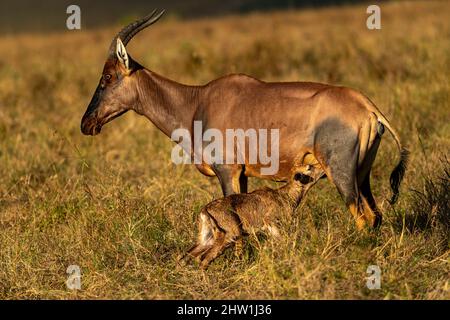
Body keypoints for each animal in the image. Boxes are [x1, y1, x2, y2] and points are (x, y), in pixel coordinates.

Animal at [81, 10, 408, 230]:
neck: (198, 101)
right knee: (376, 216)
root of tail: (367, 106)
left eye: (107, 76)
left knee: (362, 218)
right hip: (363, 174)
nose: (87, 124)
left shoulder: (227, 170)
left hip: (341, 173)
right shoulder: (244, 174)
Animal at [179, 166, 324, 268]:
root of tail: (206, 208)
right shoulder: (270, 222)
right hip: (231, 234)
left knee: (184, 256)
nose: (322, 170)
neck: (286, 195)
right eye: (309, 167)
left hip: (207, 239)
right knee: (204, 258)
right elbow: (282, 241)